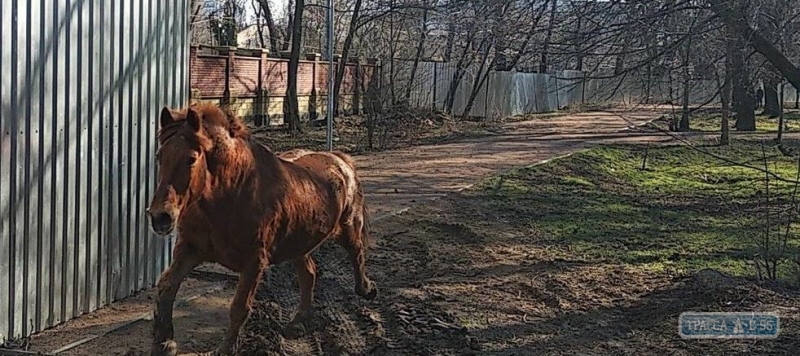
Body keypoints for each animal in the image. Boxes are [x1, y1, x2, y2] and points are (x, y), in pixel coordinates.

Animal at [146, 102, 378, 354]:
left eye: (191, 158)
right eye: (160, 156)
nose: (160, 217)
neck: (229, 196)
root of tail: (339, 159)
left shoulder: (254, 261)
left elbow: (239, 308)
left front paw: (225, 349)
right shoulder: (190, 250)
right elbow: (166, 288)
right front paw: (165, 343)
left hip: (347, 228)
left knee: (356, 252)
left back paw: (366, 289)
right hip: (298, 244)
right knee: (308, 273)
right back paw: (299, 322)